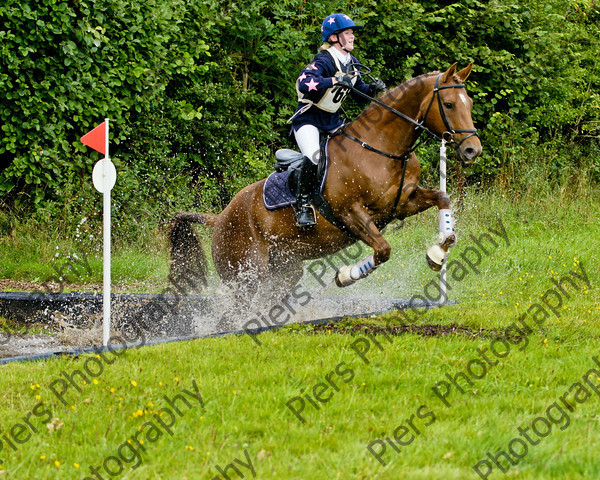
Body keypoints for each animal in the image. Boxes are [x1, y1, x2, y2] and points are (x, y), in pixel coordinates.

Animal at [168, 63, 482, 304]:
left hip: (283, 271)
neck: (382, 148)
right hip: (246, 276)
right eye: (449, 104)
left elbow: (442, 199)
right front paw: (345, 276)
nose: (473, 150)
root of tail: (220, 217)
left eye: (469, 104)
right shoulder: (350, 213)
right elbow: (383, 250)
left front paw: (438, 254)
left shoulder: (403, 202)